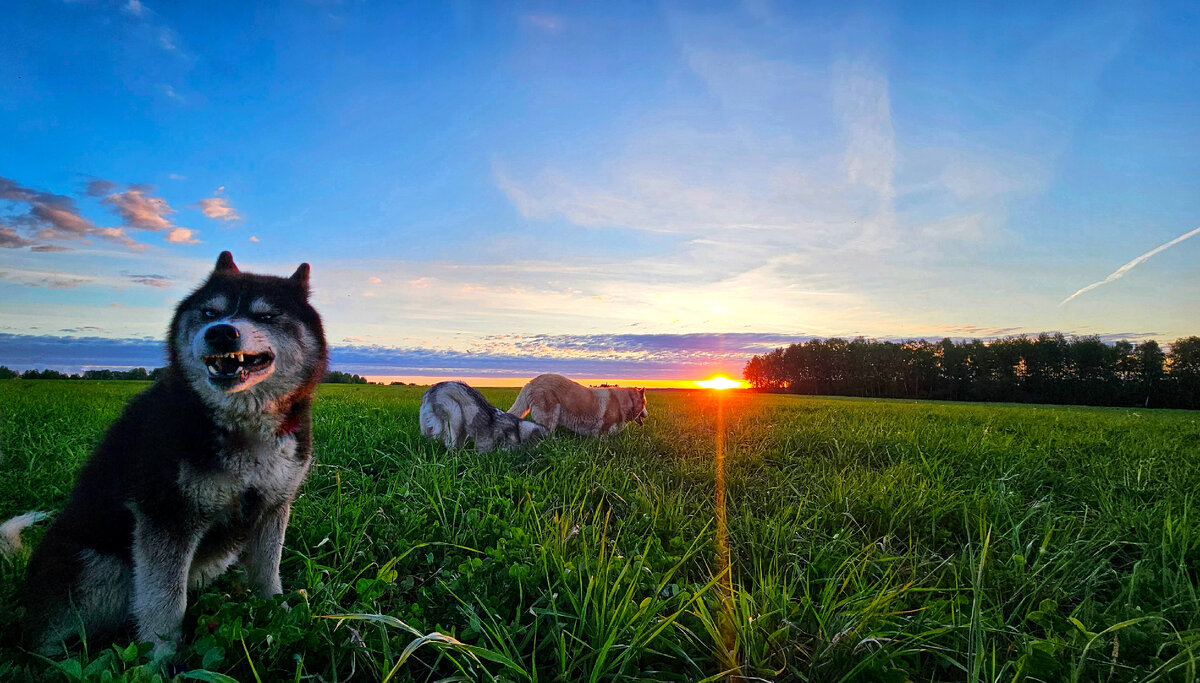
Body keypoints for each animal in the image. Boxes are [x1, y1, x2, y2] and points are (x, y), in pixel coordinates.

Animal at [506, 372, 648, 436]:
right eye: (645, 404)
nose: (648, 415)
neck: (624, 401)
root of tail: (531, 382)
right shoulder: (604, 430)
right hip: (550, 417)